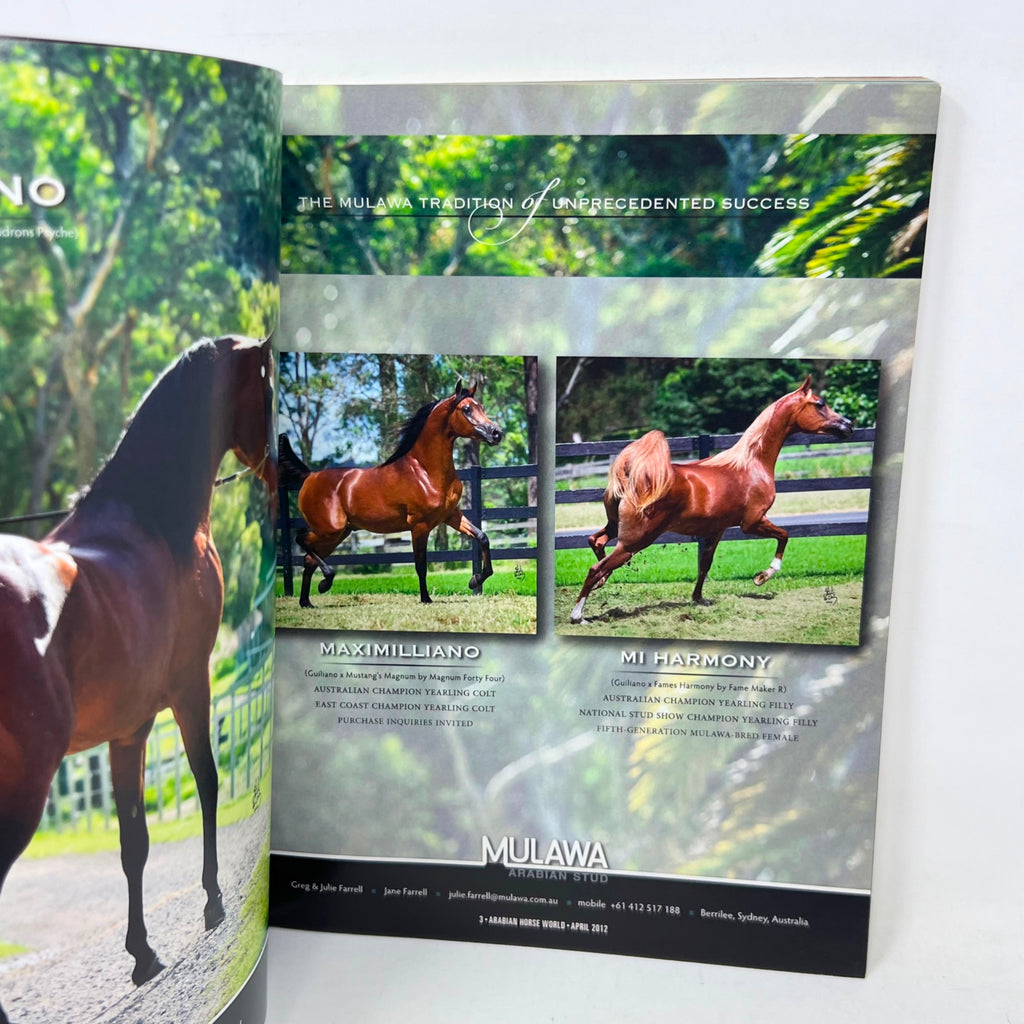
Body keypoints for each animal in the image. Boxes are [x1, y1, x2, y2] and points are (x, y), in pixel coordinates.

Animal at [0, 335, 275, 1024]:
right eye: (269, 387)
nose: (286, 470)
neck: (154, 525)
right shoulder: (188, 689)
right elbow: (206, 782)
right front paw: (212, 901)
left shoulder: (126, 731)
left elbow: (134, 841)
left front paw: (142, 952)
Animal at [279, 381, 502, 608]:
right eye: (466, 409)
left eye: (481, 407)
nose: (496, 433)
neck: (425, 471)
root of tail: (309, 476)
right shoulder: (419, 525)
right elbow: (421, 565)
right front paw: (426, 599)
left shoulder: (450, 516)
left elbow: (482, 537)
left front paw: (475, 580)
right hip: (330, 530)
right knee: (301, 541)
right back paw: (325, 582)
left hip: (339, 533)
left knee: (308, 560)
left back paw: (307, 601)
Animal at [569, 376, 853, 624]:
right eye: (820, 403)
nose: (848, 426)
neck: (750, 464)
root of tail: (629, 477)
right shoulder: (752, 522)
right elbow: (784, 536)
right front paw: (762, 577)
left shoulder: (717, 529)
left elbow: (705, 564)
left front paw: (698, 599)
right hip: (635, 541)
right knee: (596, 568)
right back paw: (578, 616)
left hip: (616, 528)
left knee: (596, 541)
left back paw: (601, 584)